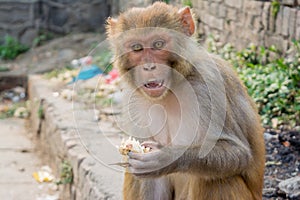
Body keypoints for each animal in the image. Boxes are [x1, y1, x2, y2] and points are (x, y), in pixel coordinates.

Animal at [105, 1, 264, 200]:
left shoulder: (207, 86)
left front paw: (165, 158)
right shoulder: (134, 98)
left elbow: (239, 153)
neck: (172, 88)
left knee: (218, 180)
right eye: (136, 48)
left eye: (158, 44)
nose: (148, 67)